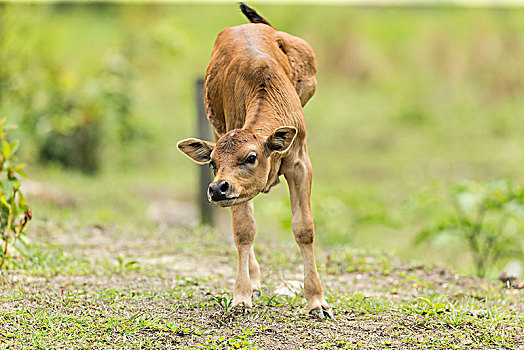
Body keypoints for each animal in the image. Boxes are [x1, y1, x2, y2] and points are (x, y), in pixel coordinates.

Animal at [176, 3, 332, 320]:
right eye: (212, 163)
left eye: (251, 157)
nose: (217, 188)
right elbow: (244, 230)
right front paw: (242, 296)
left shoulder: (300, 163)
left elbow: (304, 229)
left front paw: (317, 301)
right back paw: (255, 281)